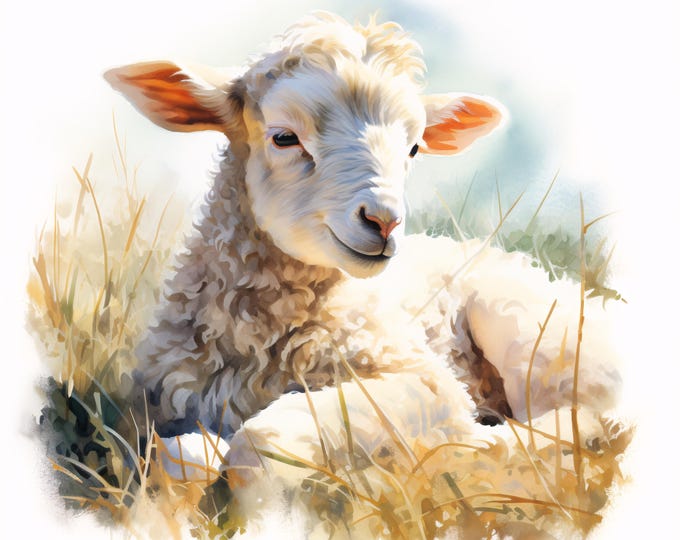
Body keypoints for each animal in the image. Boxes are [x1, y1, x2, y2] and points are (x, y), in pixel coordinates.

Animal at [105, 11, 621, 450]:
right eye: (284, 137)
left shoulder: (425, 380)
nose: (384, 220)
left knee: (581, 420)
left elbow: (265, 435)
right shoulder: (164, 405)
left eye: (413, 148)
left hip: (535, 333)